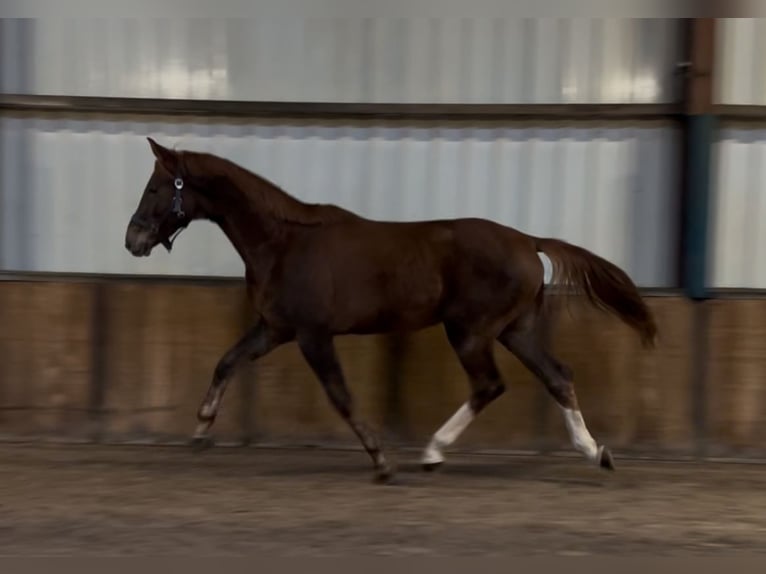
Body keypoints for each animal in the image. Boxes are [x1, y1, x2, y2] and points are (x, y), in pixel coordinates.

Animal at [123, 137, 656, 484]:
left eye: (154, 189)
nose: (133, 240)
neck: (284, 242)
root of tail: (528, 240)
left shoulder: (312, 334)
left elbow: (340, 395)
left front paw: (382, 461)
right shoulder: (275, 328)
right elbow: (226, 361)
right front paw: (200, 431)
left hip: (470, 330)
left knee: (490, 384)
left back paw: (432, 454)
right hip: (514, 330)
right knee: (557, 375)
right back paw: (596, 453)